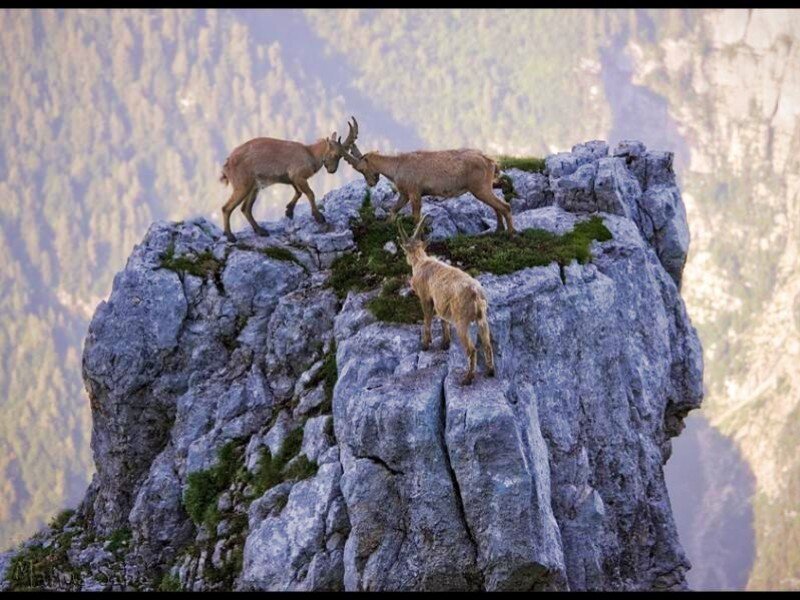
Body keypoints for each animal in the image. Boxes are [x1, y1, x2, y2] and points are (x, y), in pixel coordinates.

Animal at [219, 117, 359, 241]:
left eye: (341, 156)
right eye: (335, 154)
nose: (332, 170)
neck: (310, 154)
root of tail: (227, 164)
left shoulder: (292, 179)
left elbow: (299, 192)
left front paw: (289, 211)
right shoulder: (298, 176)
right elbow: (310, 193)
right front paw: (318, 217)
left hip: (254, 187)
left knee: (245, 208)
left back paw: (261, 231)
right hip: (242, 185)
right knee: (226, 208)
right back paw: (230, 236)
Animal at [332, 140, 514, 235]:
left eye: (361, 169)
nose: (371, 183)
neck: (397, 165)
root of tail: (489, 161)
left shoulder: (414, 192)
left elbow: (415, 216)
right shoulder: (404, 194)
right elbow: (393, 209)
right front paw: (386, 226)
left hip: (480, 188)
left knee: (505, 205)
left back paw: (511, 233)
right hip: (485, 188)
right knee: (497, 206)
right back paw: (499, 230)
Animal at [398, 215, 495, 385]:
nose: (407, 261)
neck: (421, 261)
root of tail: (476, 294)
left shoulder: (426, 297)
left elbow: (427, 320)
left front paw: (425, 344)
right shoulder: (440, 303)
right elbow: (443, 320)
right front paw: (445, 343)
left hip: (462, 321)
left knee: (471, 349)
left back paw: (467, 378)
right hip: (482, 318)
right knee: (487, 344)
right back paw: (490, 371)